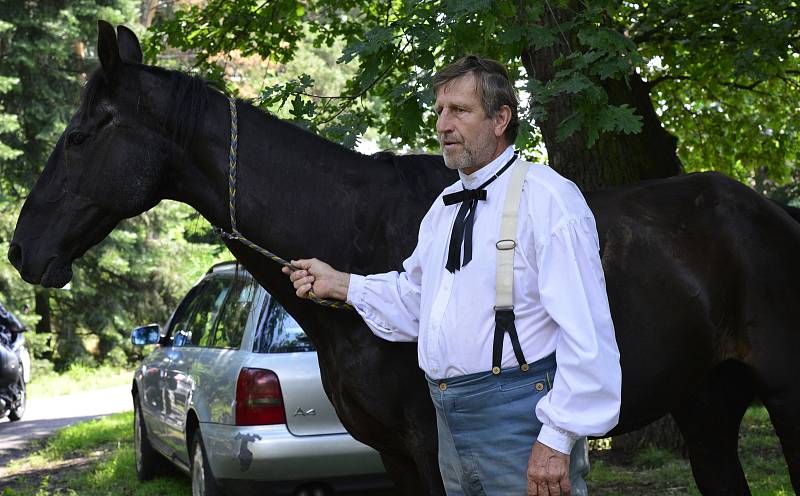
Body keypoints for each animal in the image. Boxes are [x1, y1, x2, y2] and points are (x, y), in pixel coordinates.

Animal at [6, 22, 800, 492]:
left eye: (82, 134)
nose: (23, 250)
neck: (358, 231)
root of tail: (774, 213)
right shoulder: (393, 453)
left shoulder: (427, 448)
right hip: (706, 410)